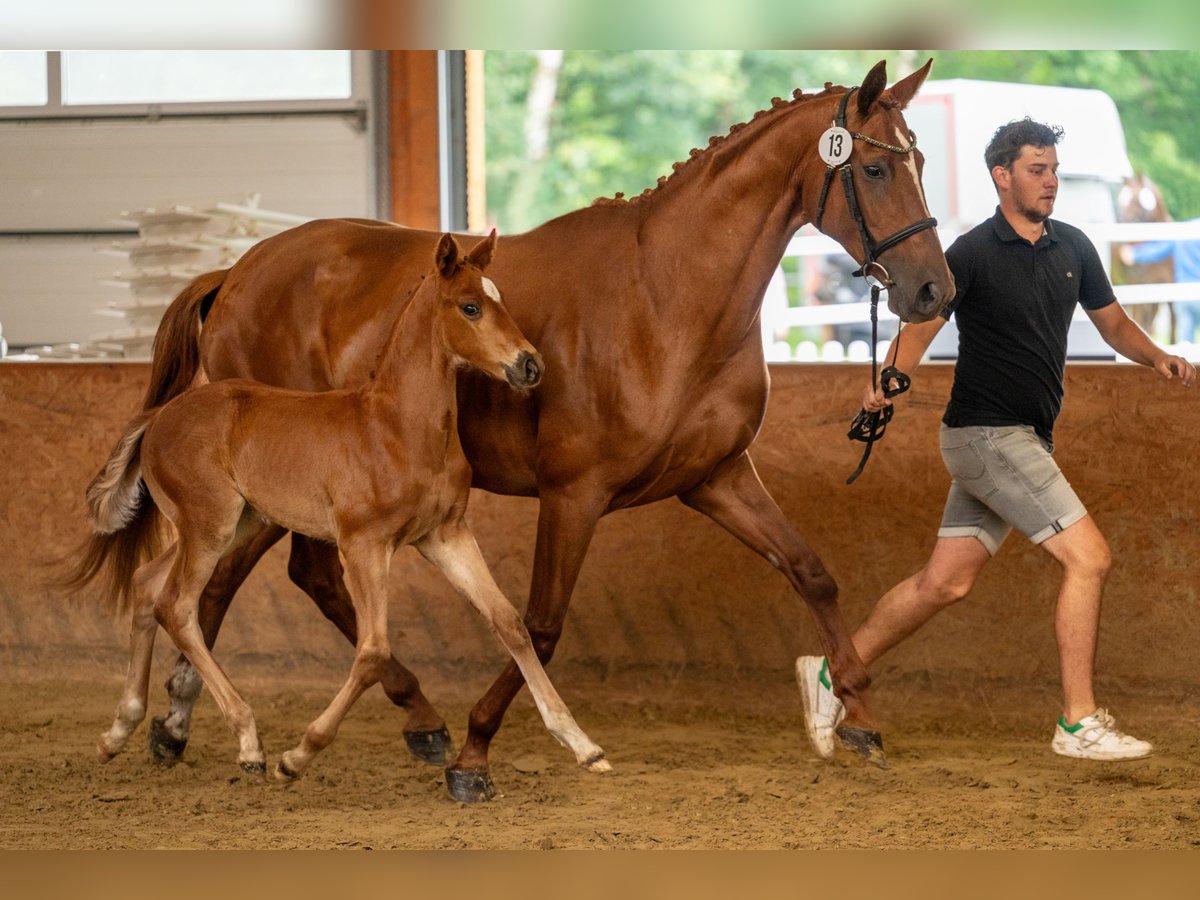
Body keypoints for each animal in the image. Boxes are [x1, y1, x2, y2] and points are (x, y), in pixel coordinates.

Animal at [72, 234, 609, 796]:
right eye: (470, 307)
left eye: (500, 299)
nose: (530, 366)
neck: (398, 426)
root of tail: (159, 416)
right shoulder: (363, 544)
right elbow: (372, 651)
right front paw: (298, 756)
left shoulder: (446, 536)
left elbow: (509, 622)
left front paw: (584, 745)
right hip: (209, 524)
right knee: (176, 605)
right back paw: (249, 745)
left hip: (237, 523)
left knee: (147, 582)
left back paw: (119, 729)